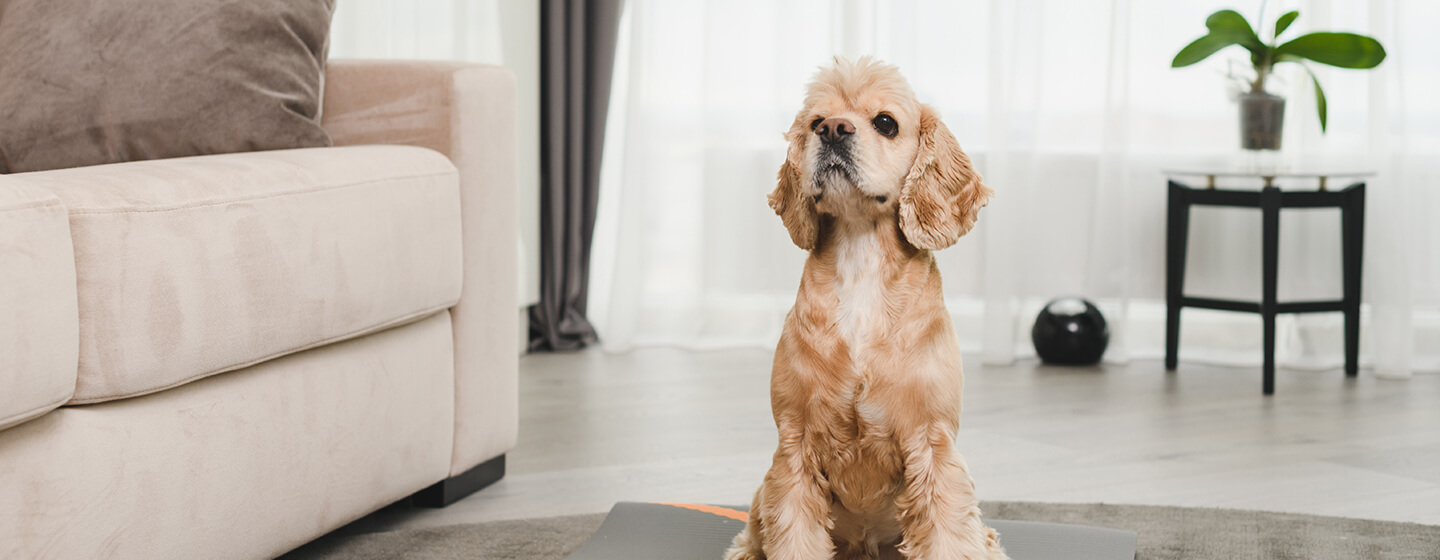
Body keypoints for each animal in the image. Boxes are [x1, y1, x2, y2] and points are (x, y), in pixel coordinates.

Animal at [725, 57, 1008, 558]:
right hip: (761, 499)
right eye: (816, 122)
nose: (833, 130)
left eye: (886, 123)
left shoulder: (933, 446)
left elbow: (946, 536)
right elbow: (795, 538)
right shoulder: (795, 448)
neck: (861, 260)